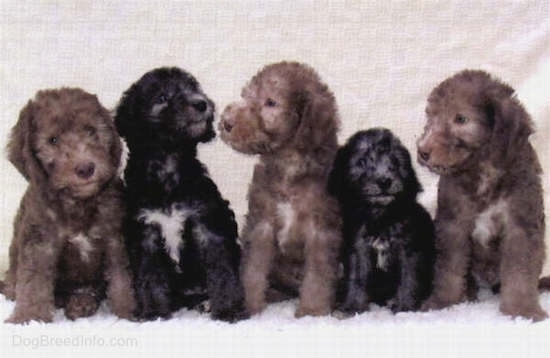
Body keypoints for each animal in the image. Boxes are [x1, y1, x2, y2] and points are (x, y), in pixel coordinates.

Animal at [2, 88, 136, 324]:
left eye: (91, 131)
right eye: (53, 140)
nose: (85, 168)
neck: (77, 201)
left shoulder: (115, 238)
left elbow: (122, 278)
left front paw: (128, 313)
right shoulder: (40, 242)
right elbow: (34, 282)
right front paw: (29, 316)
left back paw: (82, 303)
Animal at [116, 67, 248, 322]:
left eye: (194, 88)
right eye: (162, 97)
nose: (201, 103)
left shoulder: (207, 224)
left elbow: (223, 273)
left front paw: (228, 310)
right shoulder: (145, 233)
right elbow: (150, 278)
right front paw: (154, 312)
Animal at [219, 61, 340, 316]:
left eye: (271, 102)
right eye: (246, 95)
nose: (226, 123)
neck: (288, 167)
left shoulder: (322, 230)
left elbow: (318, 275)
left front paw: (312, 310)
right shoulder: (261, 223)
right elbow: (253, 268)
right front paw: (248, 304)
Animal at [330, 129, 438, 314]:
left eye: (395, 162)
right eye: (362, 162)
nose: (385, 181)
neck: (380, 217)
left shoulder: (409, 249)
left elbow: (408, 277)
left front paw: (404, 307)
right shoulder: (358, 248)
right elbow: (357, 278)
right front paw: (353, 306)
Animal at [418, 70, 548, 322]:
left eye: (460, 119)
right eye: (431, 117)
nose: (422, 151)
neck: (483, 169)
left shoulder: (521, 226)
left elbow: (520, 272)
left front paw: (522, 310)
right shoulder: (453, 225)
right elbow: (448, 270)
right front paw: (442, 302)